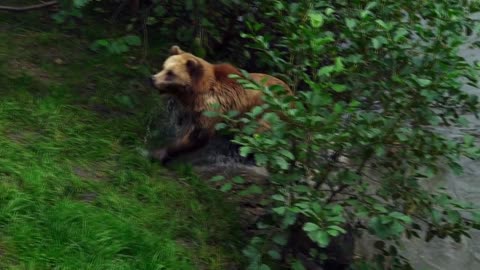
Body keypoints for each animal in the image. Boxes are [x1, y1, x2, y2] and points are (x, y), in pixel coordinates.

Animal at [150, 45, 292, 163]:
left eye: (171, 73)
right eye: (164, 67)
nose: (153, 79)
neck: (197, 92)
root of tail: (291, 93)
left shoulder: (213, 107)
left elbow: (198, 135)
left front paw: (162, 152)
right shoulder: (197, 109)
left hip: (268, 115)